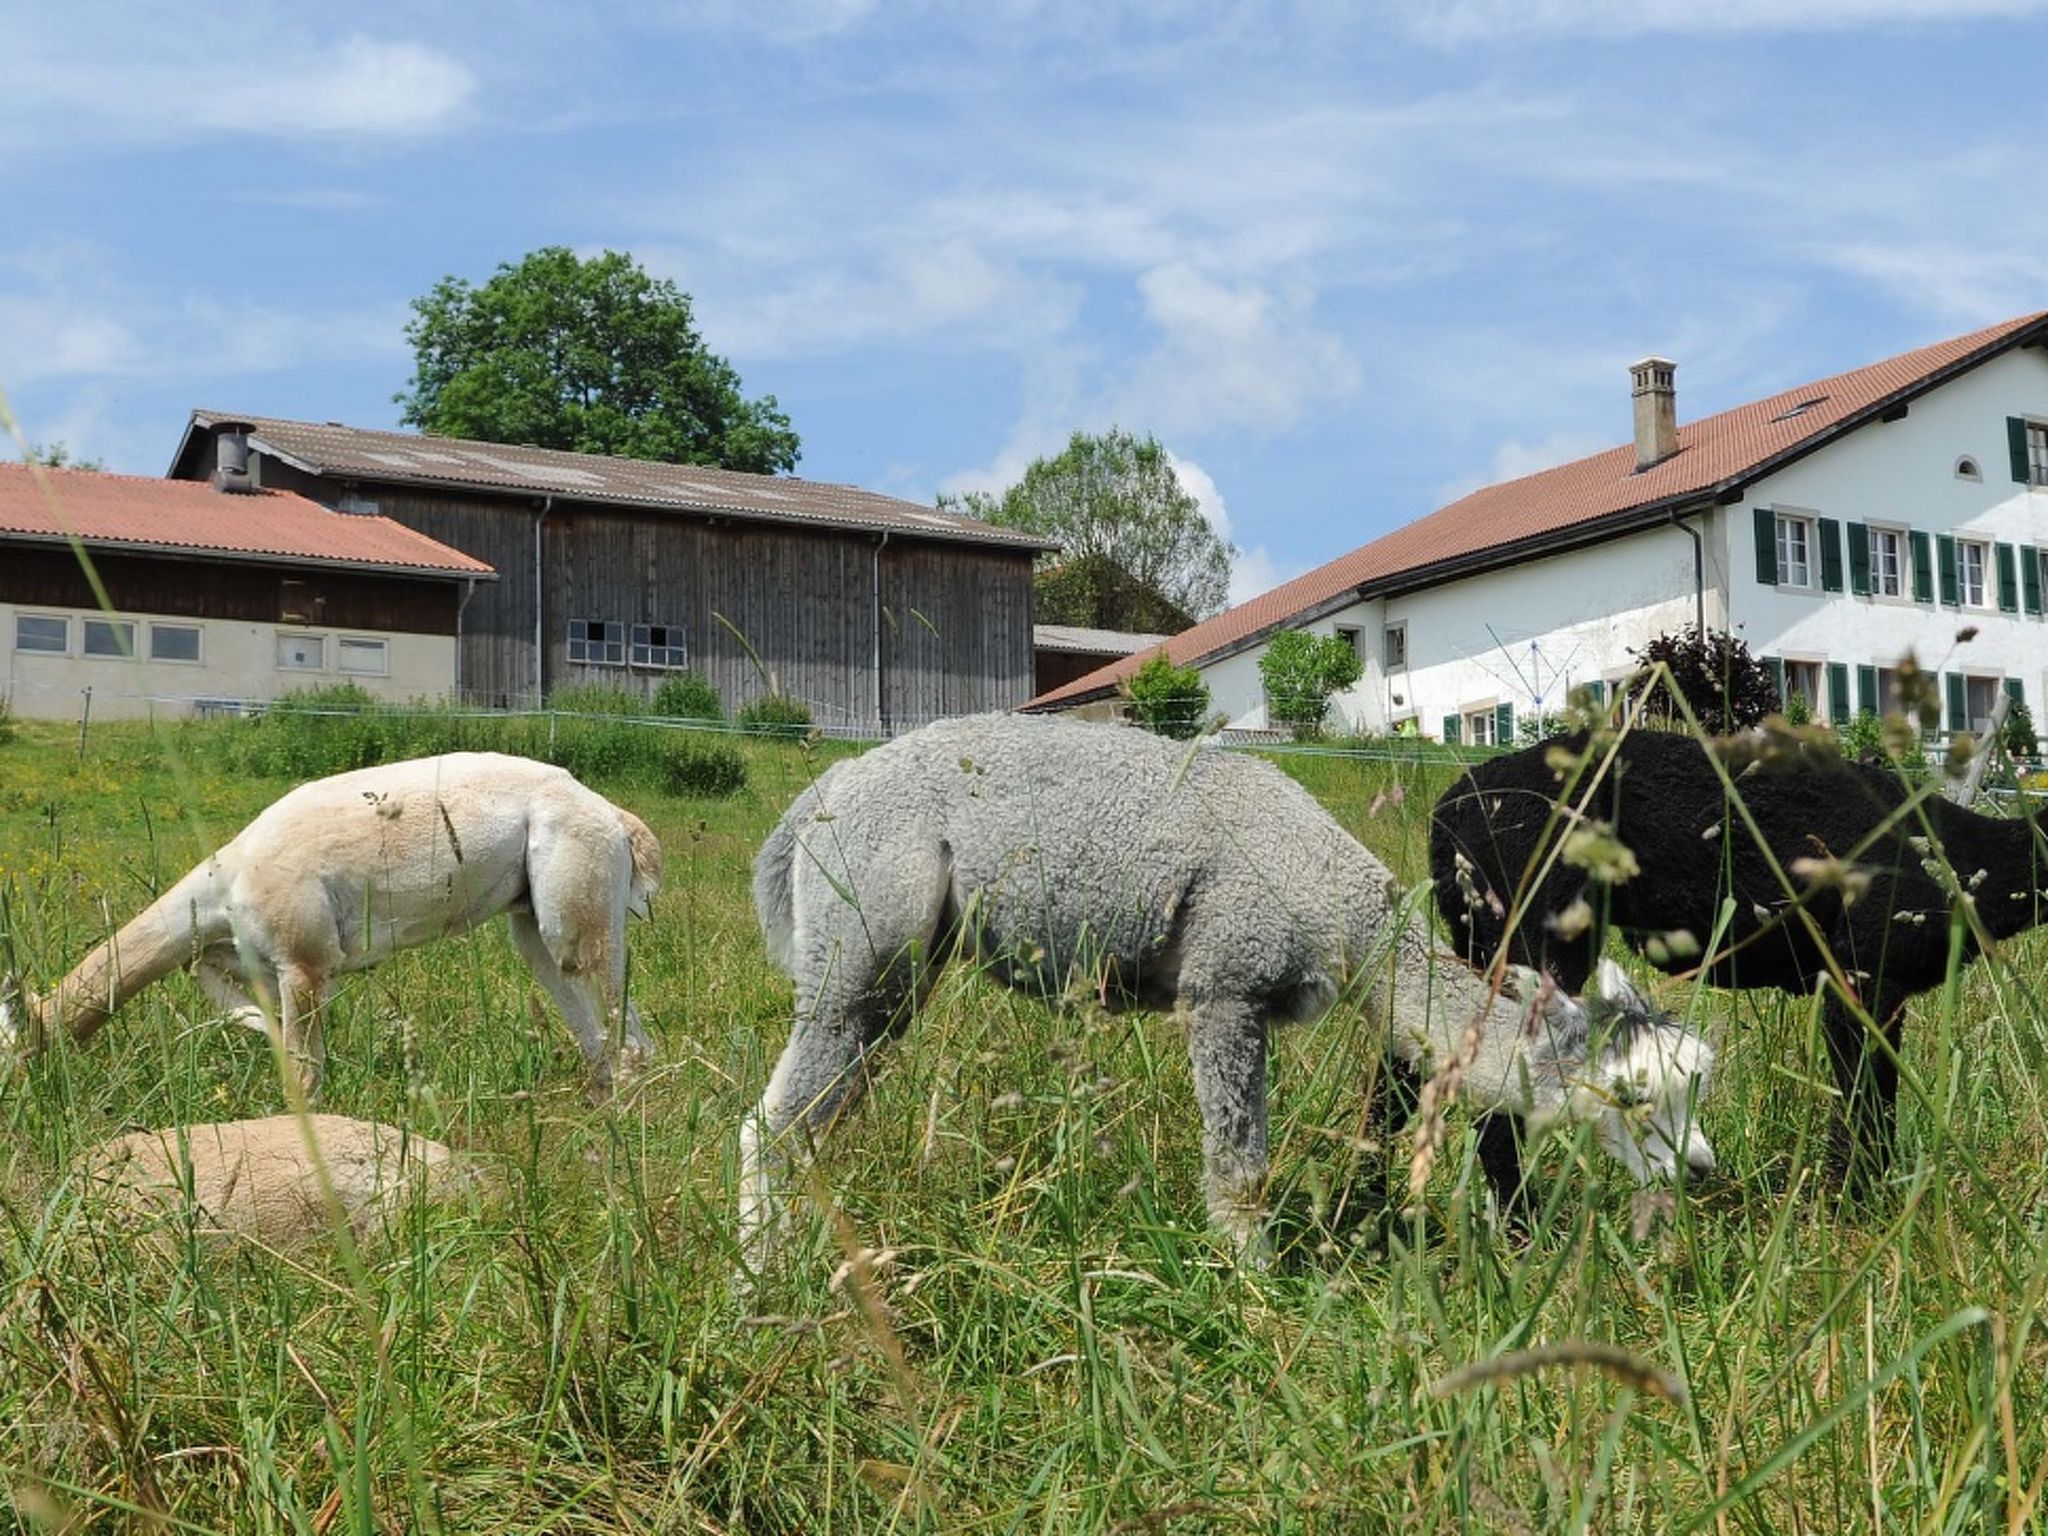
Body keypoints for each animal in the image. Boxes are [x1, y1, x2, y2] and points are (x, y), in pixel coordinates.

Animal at [0, 753, 655, 1097]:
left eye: (7, 1049)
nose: (15, 1098)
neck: (226, 886)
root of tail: (614, 815)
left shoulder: (306, 961)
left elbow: (304, 1076)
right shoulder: (259, 968)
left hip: (576, 901)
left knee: (624, 1030)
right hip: (533, 922)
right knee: (599, 1030)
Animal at [745, 716, 1720, 1269]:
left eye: (1698, 1083)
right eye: (1632, 1097)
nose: (1699, 1169)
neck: (1348, 919)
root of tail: (820, 795)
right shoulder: (1225, 988)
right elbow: (1241, 1164)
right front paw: (1257, 1286)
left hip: (890, 967)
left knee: (812, 1119)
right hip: (862, 941)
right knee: (773, 1123)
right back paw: (764, 1279)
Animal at [1433, 733, 2048, 1187]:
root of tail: (1448, 815)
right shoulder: (1863, 974)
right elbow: (1865, 1097)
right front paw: (1855, 1205)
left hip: (1483, 942)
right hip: (1528, 931)